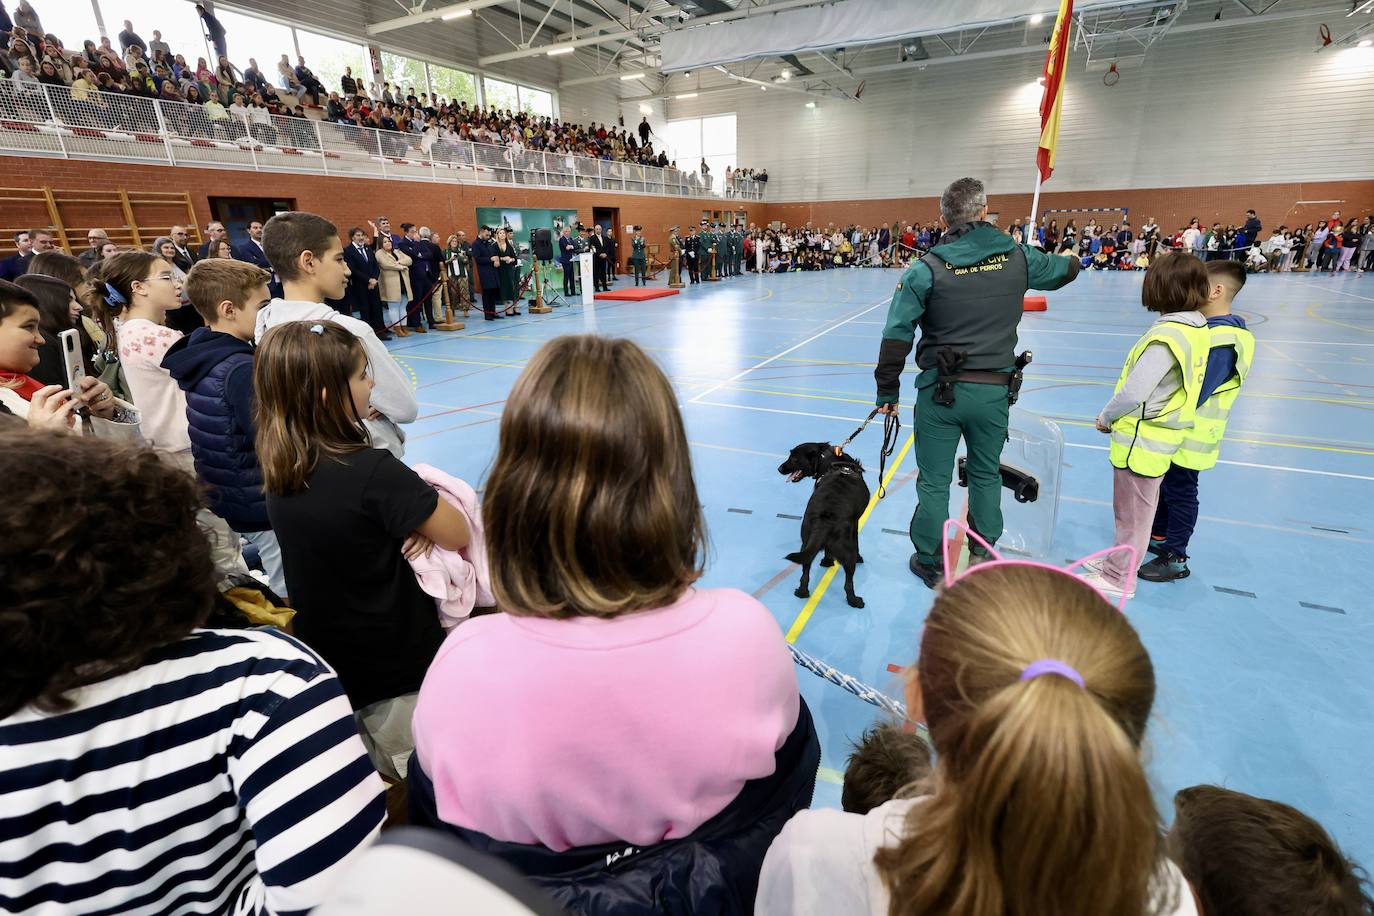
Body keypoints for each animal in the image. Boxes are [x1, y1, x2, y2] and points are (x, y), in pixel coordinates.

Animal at [774, 442, 868, 609]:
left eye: (794, 458)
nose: (779, 469)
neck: (829, 460)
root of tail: (825, 519)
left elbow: (827, 551)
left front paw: (827, 561)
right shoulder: (855, 523)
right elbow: (857, 543)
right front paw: (859, 557)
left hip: (806, 543)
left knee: (805, 571)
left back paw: (802, 592)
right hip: (847, 553)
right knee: (848, 583)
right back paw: (855, 601)